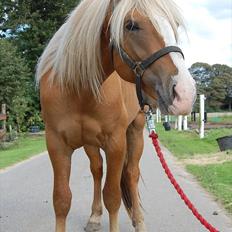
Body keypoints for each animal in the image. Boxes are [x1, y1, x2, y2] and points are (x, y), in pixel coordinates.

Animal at [35, 0, 196, 232]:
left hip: (136, 130)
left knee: (131, 174)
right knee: (97, 170)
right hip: (90, 143)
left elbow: (112, 197)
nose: (185, 93)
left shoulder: (116, 143)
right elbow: (62, 200)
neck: (78, 91)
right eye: (130, 25)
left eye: (174, 26)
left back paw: (139, 221)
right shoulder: (56, 144)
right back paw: (94, 216)